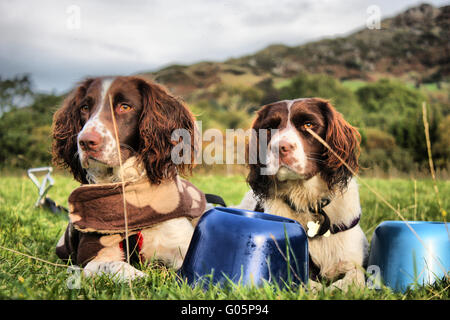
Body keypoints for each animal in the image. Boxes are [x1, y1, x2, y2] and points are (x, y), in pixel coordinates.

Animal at [51, 75, 201, 280]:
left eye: (125, 107)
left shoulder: (182, 245)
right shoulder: (93, 257)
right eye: (84, 108)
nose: (85, 142)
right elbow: (119, 267)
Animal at [237, 97, 368, 290]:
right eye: (268, 128)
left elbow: (352, 278)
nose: (280, 148)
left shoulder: (353, 261)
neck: (307, 201)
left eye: (309, 124)